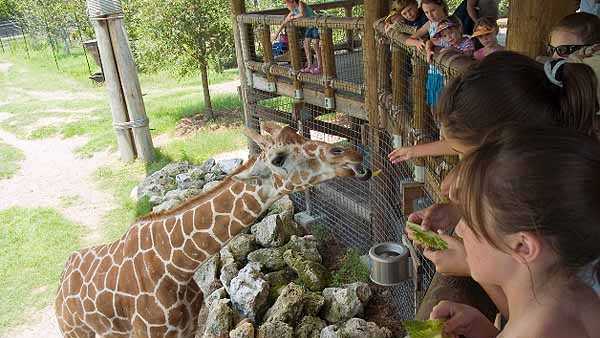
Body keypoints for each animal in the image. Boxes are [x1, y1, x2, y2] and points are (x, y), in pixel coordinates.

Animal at [55, 123, 370, 338]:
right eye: (278, 159)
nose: (351, 154)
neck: (176, 267)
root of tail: (60, 287)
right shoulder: (148, 333)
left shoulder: (188, 327)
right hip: (78, 333)